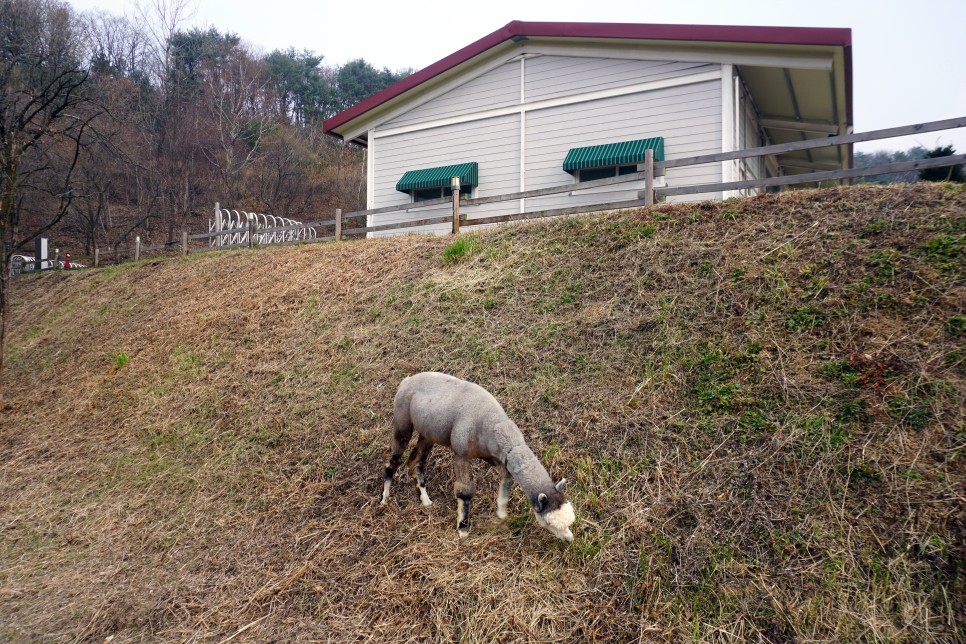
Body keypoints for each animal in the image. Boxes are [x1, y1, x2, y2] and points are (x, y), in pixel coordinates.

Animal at [380, 370, 576, 540]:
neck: (491, 424)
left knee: (415, 462)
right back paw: (384, 498)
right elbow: (465, 492)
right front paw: (462, 529)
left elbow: (506, 475)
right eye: (550, 523)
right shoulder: (461, 454)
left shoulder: (490, 455)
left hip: (428, 434)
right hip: (402, 421)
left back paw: (426, 500)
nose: (569, 539)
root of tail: (406, 381)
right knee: (392, 457)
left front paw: (501, 512)